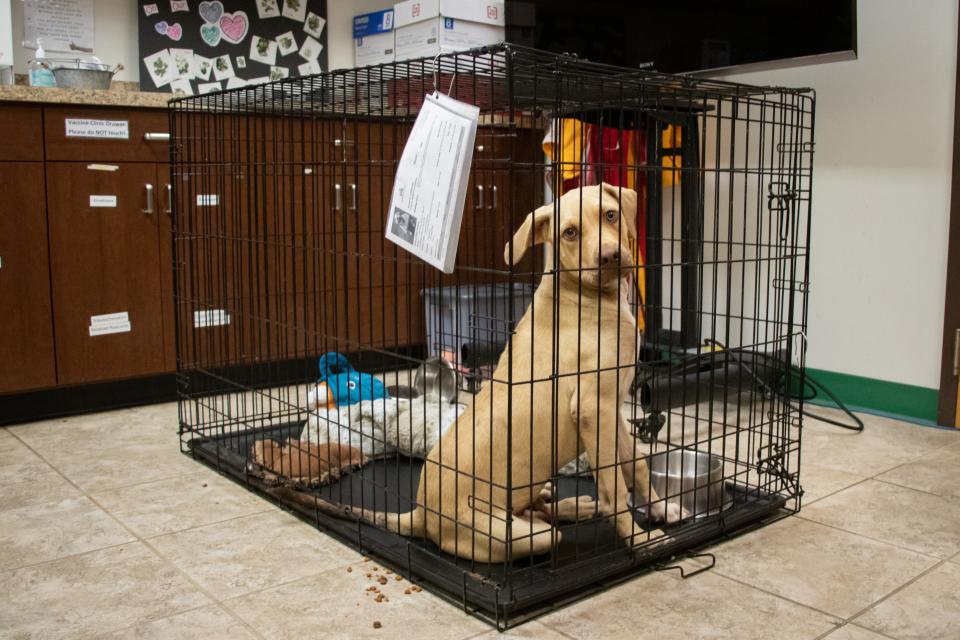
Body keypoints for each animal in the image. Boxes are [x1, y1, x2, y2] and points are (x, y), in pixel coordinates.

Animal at [284, 182, 676, 564]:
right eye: (570, 233)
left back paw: (566, 502)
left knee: (537, 507)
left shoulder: (612, 409)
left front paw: (661, 508)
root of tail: (420, 514)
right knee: (539, 526)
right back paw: (563, 508)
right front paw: (641, 540)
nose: (610, 256)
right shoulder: (594, 409)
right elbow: (614, 488)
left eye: (611, 215)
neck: (582, 293)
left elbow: (638, 463)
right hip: (514, 533)